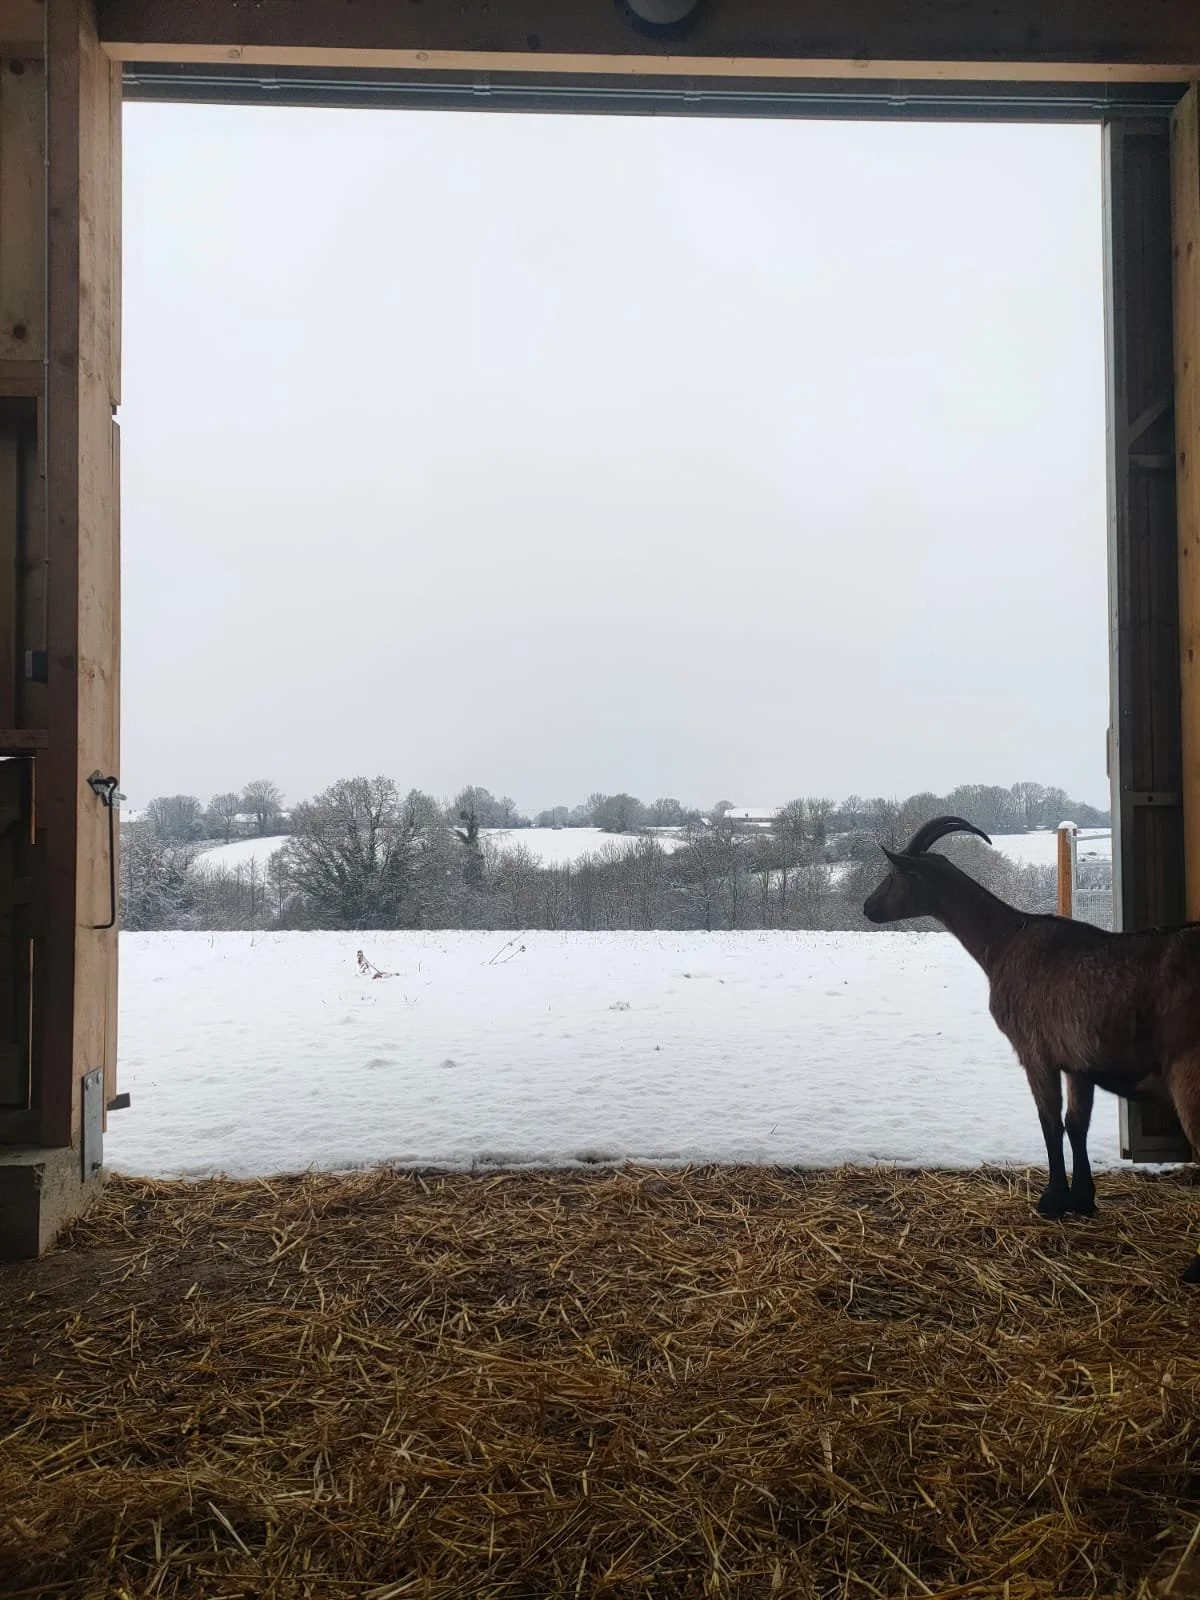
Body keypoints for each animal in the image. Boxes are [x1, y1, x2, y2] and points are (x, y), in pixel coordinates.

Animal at [863, 815, 1200, 1282]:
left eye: (895, 874)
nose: (867, 907)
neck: (1006, 941)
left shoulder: (1035, 1051)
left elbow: (1049, 1123)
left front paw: (1051, 1201)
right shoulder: (1078, 1061)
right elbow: (1076, 1124)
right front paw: (1082, 1200)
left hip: (1189, 1071)